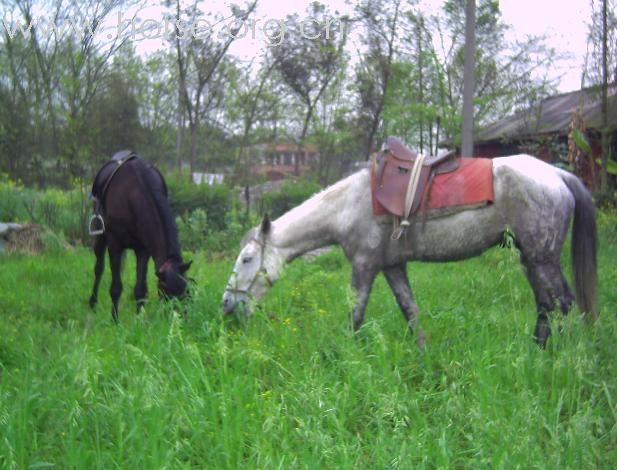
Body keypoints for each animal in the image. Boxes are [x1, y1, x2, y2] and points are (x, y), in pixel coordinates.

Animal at [87, 152, 190, 322]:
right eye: (166, 291)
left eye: (186, 289)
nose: (180, 318)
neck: (134, 194)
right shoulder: (115, 244)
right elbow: (116, 287)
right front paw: (114, 320)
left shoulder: (143, 249)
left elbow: (140, 289)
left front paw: (139, 319)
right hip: (100, 238)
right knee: (98, 269)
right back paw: (92, 303)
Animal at [223, 155, 596, 348]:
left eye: (246, 259)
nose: (227, 305)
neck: (348, 206)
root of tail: (557, 174)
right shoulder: (393, 267)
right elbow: (410, 310)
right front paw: (423, 352)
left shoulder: (364, 266)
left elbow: (355, 316)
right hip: (530, 258)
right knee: (546, 304)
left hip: (542, 258)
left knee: (563, 302)